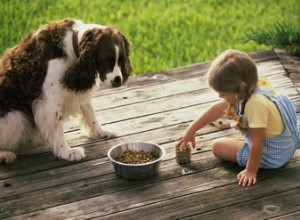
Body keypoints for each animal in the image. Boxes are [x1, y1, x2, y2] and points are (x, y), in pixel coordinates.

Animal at [0, 18, 131, 163]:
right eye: (106, 61)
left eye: (121, 60)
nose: (118, 80)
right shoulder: (49, 102)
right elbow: (57, 128)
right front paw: (67, 152)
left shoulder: (76, 90)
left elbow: (90, 112)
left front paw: (101, 131)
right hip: (17, 118)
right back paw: (5, 155)